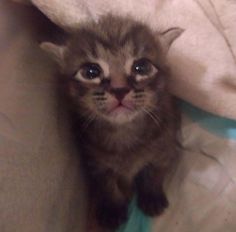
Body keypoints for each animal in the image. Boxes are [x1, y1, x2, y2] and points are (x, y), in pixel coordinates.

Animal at [41, 14, 183, 230]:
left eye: (142, 67)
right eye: (91, 72)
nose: (119, 89)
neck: (124, 133)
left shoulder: (165, 146)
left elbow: (155, 172)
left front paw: (151, 195)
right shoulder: (96, 162)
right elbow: (107, 184)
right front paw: (112, 208)